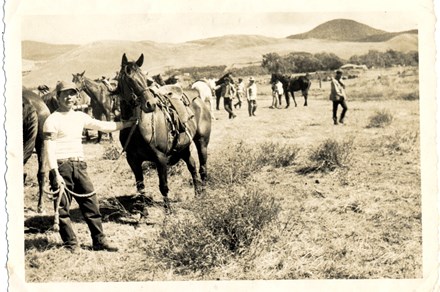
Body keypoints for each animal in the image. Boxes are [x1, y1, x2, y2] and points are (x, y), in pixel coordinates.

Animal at [113, 53, 210, 212]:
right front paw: (143, 212)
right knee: (192, 166)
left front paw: (168, 211)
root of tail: (198, 97)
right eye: (129, 79)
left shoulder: (160, 158)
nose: (150, 104)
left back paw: (205, 194)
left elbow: (163, 186)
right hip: (183, 148)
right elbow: (140, 187)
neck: (138, 129)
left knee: (203, 168)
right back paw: (197, 194)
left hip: (201, 142)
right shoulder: (132, 160)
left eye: (146, 80)